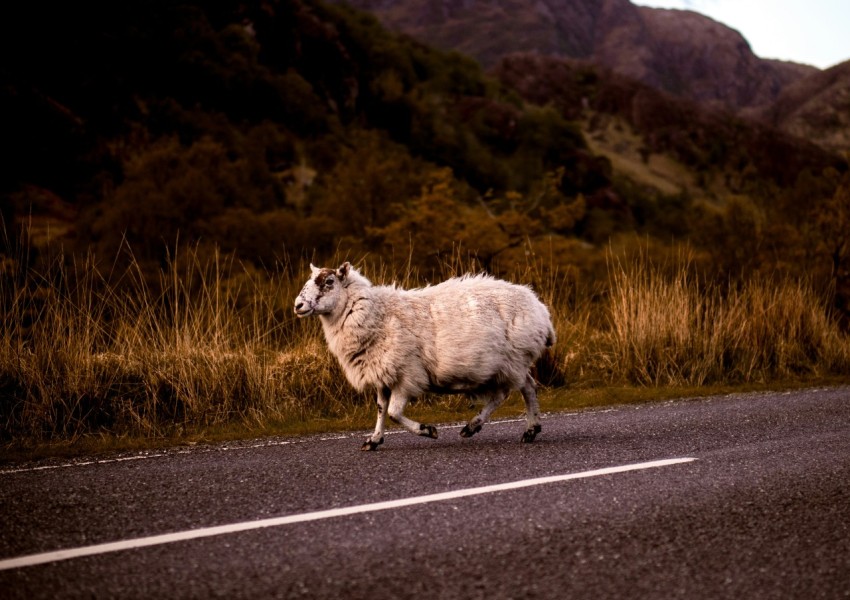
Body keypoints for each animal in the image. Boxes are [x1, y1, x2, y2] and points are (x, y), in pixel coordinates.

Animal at [294, 262, 556, 450]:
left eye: (328, 282)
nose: (298, 305)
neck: (379, 314)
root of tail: (540, 308)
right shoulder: (382, 372)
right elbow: (380, 409)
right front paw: (374, 440)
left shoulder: (407, 375)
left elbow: (394, 413)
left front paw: (428, 431)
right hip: (508, 364)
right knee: (525, 388)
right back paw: (528, 430)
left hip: (510, 361)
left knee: (510, 393)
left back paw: (477, 426)